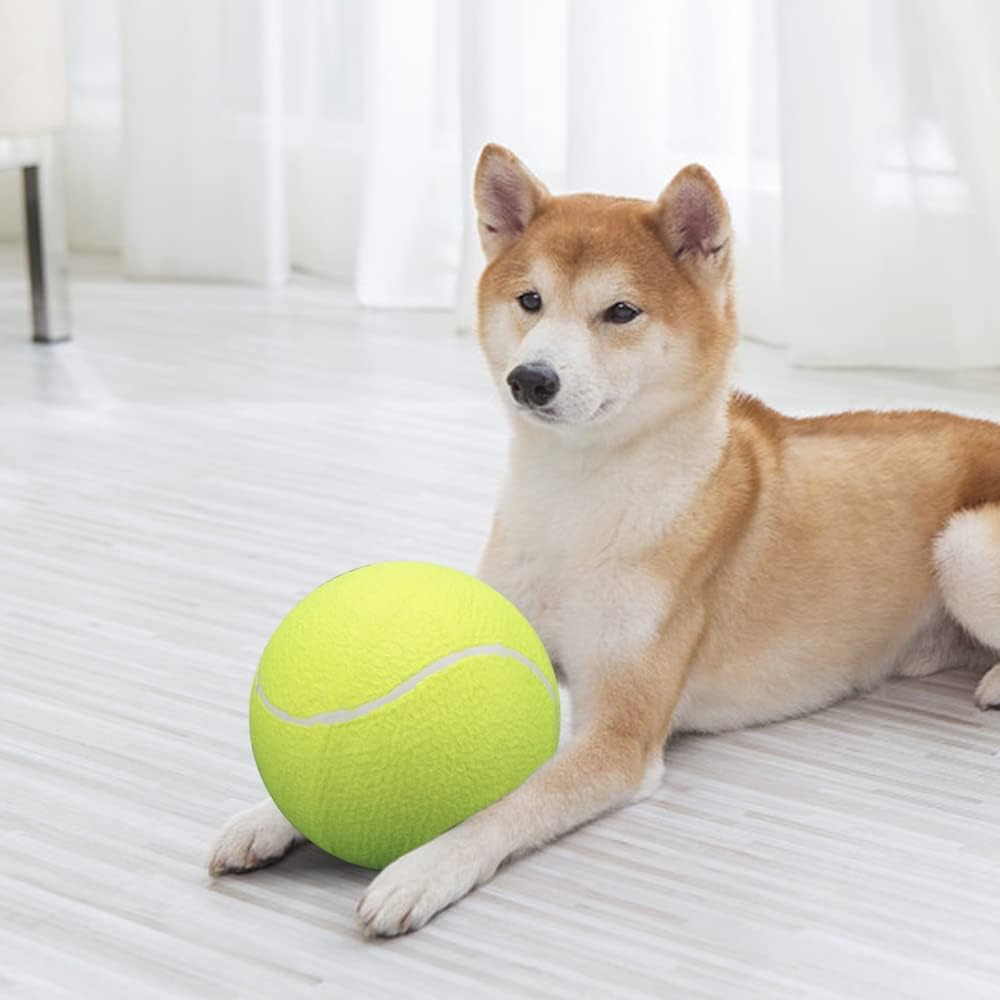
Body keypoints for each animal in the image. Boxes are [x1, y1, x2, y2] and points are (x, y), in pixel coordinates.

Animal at [209, 141, 1000, 936]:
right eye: (530, 301)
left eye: (620, 311)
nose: (531, 379)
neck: (578, 501)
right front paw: (268, 816)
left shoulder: (620, 734)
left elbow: (509, 802)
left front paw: (425, 867)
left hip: (962, 543)